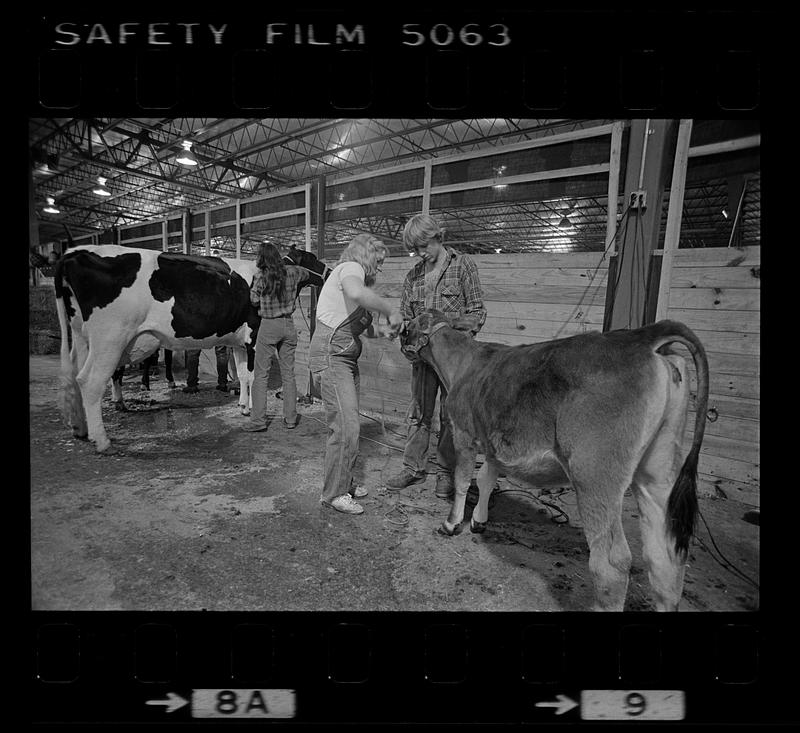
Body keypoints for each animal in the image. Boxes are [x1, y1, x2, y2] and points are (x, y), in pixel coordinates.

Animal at [55, 246, 328, 452]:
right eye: (312, 258)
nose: (328, 271)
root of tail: (74, 253)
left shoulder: (239, 342)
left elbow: (241, 375)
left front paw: (242, 406)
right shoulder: (254, 337)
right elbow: (252, 376)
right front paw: (251, 410)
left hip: (82, 336)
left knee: (75, 376)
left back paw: (80, 429)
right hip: (110, 338)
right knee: (90, 381)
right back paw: (102, 440)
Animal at [404, 312, 708, 608]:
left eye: (408, 324)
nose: (400, 337)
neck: (463, 364)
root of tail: (640, 336)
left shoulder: (464, 433)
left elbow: (463, 481)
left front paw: (451, 523)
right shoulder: (493, 444)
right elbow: (486, 479)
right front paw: (479, 521)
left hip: (595, 474)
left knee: (611, 565)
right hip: (657, 472)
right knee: (665, 559)